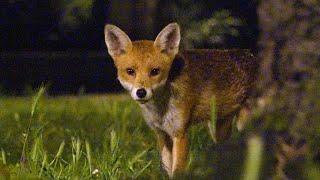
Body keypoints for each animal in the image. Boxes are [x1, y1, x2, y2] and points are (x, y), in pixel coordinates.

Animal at [104, 22, 258, 177]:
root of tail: (251, 55)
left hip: (243, 125)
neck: (160, 109)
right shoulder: (162, 134)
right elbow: (166, 169)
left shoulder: (180, 134)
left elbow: (177, 170)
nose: (141, 92)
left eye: (154, 71)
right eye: (130, 71)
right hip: (217, 129)